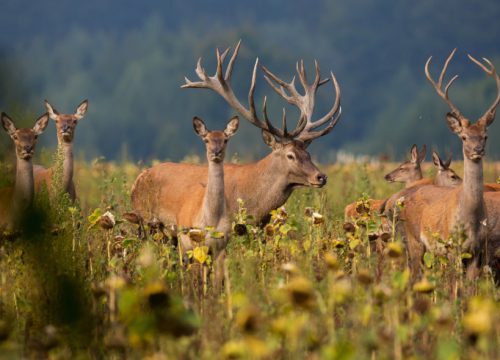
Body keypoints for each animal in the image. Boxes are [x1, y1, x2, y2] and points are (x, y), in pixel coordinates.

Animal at [386, 48, 496, 278]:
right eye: (463, 136)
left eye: (485, 136)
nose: (477, 150)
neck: (470, 218)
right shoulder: (452, 247)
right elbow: (454, 284)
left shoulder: (477, 251)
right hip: (414, 239)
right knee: (413, 273)